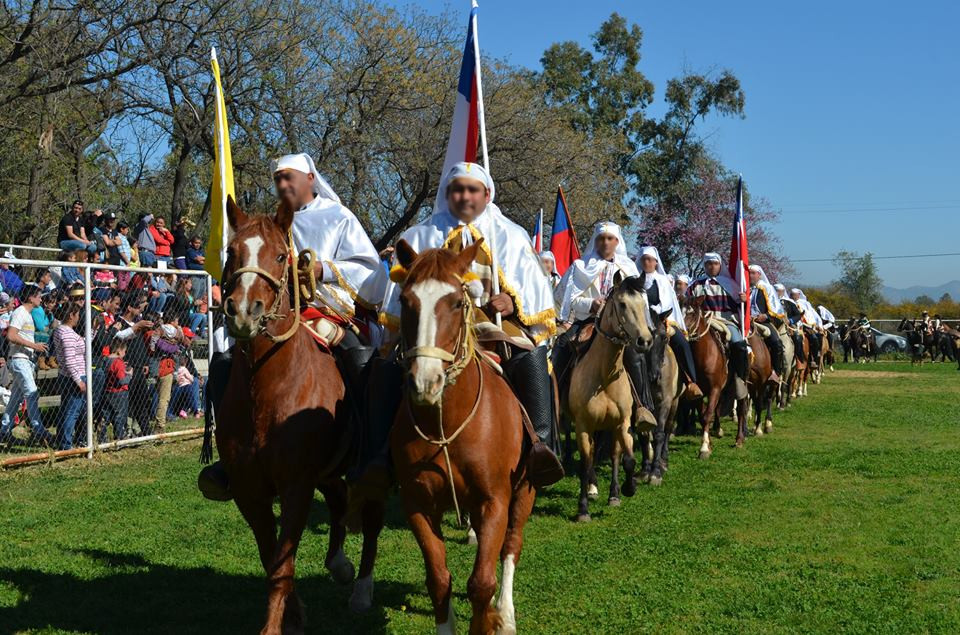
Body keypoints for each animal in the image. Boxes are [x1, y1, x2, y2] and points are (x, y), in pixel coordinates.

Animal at [216, 196, 384, 632]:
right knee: (340, 501)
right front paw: (294, 614)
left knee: (372, 521)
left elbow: (281, 564)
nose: (243, 312)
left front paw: (275, 625)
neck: (267, 390)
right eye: (231, 251)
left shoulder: (296, 485)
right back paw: (339, 565)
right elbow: (271, 557)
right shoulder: (250, 490)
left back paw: (361, 590)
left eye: (280, 255)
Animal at [392, 240, 540, 635]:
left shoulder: (494, 501)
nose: (425, 383)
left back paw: (505, 613)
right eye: (405, 301)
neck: (447, 426)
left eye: (457, 303)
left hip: (524, 492)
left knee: (511, 546)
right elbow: (439, 579)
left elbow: (481, 583)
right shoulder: (418, 505)